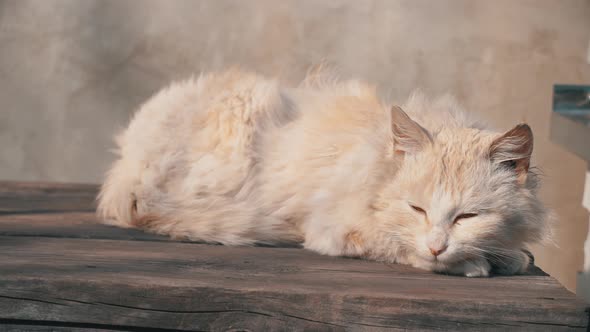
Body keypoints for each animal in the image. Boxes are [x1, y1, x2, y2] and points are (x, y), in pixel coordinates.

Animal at [96, 68, 552, 276]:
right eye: (417, 209)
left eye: (468, 216)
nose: (438, 246)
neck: (376, 161)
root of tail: (126, 162)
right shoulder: (334, 229)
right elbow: (397, 244)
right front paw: (473, 263)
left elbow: (514, 255)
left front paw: (503, 255)